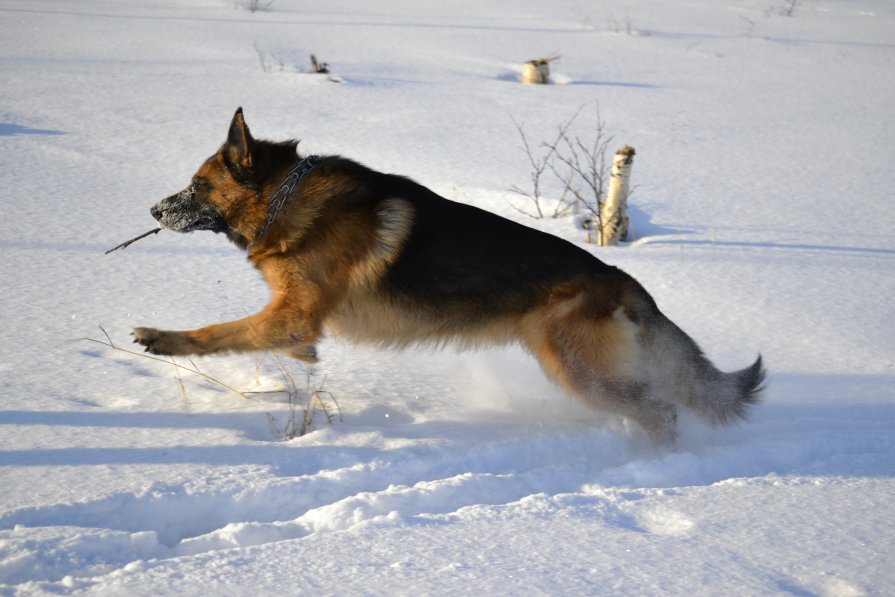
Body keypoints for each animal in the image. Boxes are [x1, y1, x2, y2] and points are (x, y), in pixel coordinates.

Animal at [136, 108, 768, 442]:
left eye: (196, 186)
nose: (153, 211)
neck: (283, 200)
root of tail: (622, 280)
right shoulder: (291, 319)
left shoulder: (293, 315)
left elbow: (220, 332)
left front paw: (163, 340)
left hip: (579, 370)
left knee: (660, 409)